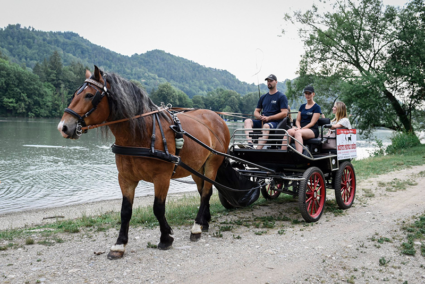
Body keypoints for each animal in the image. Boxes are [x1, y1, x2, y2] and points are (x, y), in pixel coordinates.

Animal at [58, 66, 230, 260]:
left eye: (89, 95)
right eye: (75, 94)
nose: (63, 127)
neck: (142, 134)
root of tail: (216, 116)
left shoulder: (162, 178)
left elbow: (158, 208)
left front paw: (165, 238)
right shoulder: (126, 178)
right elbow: (125, 211)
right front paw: (119, 244)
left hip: (212, 164)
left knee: (206, 193)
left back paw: (196, 228)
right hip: (197, 167)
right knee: (202, 193)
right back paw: (204, 222)